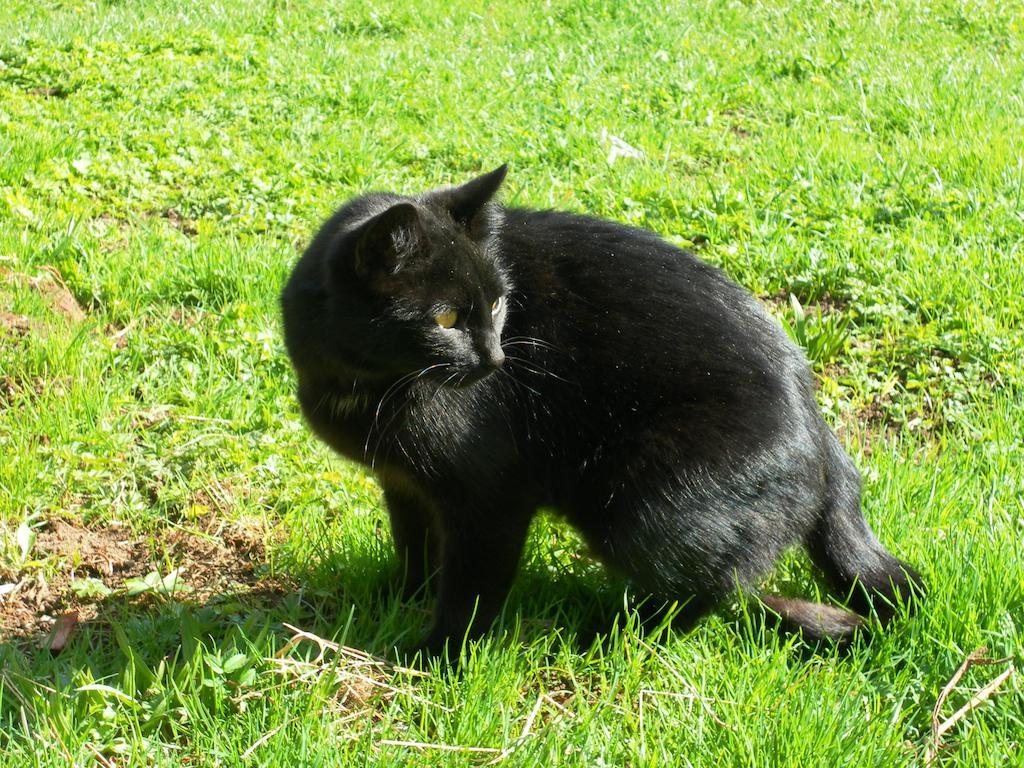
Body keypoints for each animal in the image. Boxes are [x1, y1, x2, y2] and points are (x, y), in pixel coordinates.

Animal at [280, 165, 921, 651]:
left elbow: (471, 587)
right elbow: (414, 546)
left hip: (641, 502)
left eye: (498, 302)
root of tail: (823, 436)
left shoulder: (492, 496)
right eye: (444, 318)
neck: (369, 386)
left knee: (708, 590)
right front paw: (397, 599)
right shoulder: (404, 481)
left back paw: (606, 635)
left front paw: (437, 656)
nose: (495, 358)